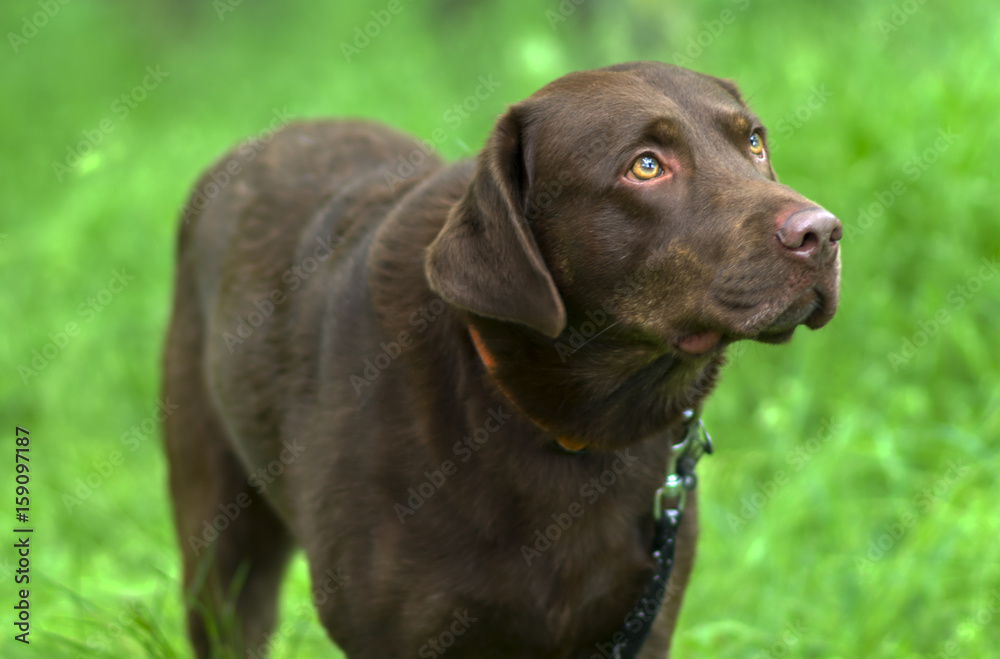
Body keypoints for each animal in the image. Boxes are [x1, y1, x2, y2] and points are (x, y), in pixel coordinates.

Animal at [164, 60, 844, 656]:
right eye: (646, 166)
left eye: (753, 142)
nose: (822, 233)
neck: (563, 429)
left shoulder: (644, 622)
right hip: (219, 548)